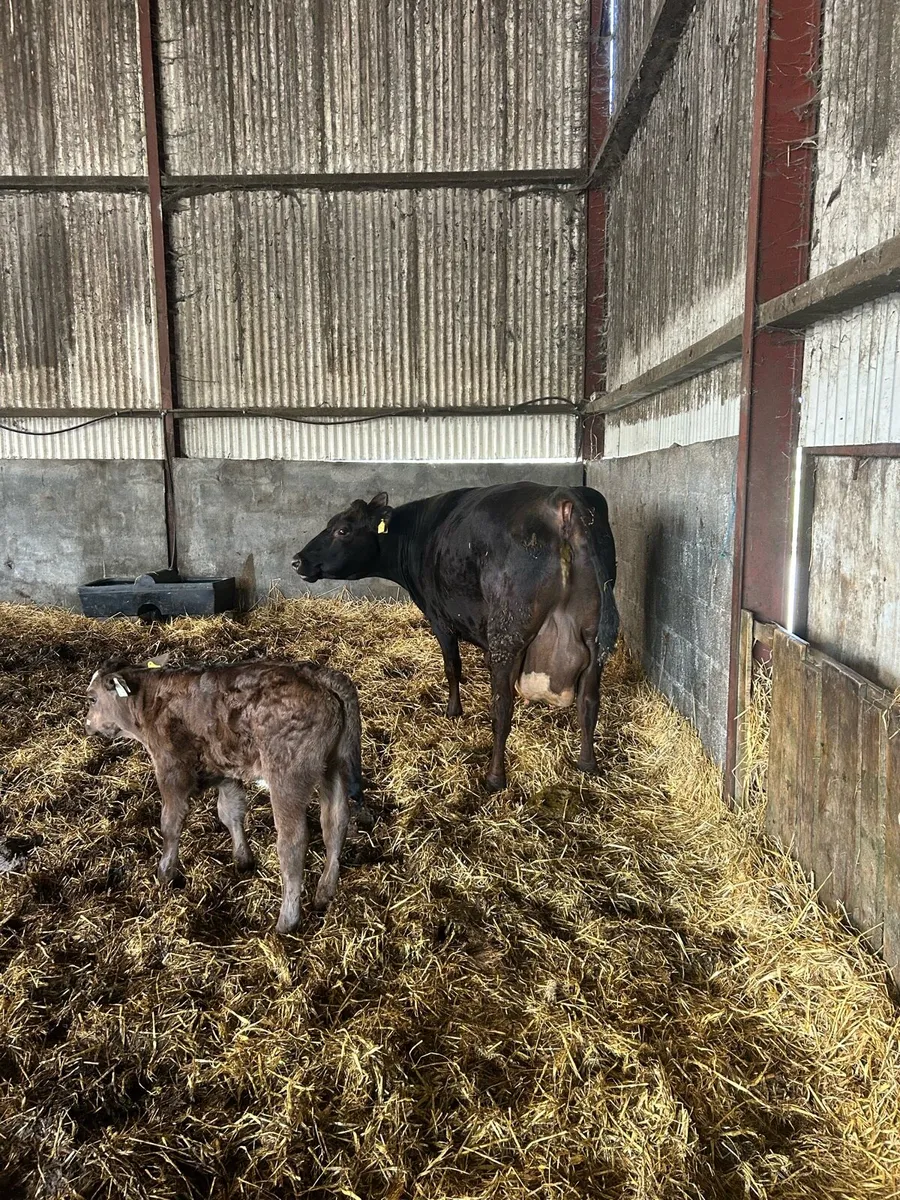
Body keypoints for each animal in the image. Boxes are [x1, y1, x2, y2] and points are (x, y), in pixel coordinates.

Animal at [85, 658, 362, 933]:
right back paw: (324, 894)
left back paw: (287, 921)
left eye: (92, 698)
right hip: (336, 766)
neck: (150, 700)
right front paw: (243, 860)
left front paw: (166, 874)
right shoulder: (225, 771)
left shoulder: (172, 769)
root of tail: (316, 676)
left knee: (293, 842)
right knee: (335, 824)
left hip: (288, 778)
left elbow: (170, 824)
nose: (87, 725)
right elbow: (230, 812)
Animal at [293, 482, 618, 791]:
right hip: (596, 637)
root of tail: (562, 498)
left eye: (342, 529)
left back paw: (494, 777)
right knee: (589, 702)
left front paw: (453, 711)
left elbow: (452, 668)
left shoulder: (440, 620)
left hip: (508, 633)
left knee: (502, 708)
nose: (297, 560)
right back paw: (587, 763)